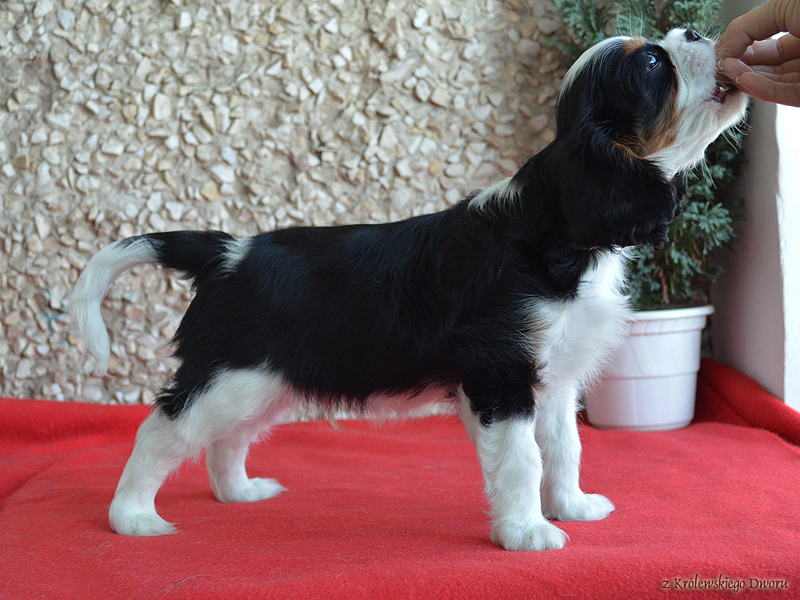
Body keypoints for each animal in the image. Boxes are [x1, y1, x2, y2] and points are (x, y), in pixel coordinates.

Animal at [71, 29, 747, 551]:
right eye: (652, 64)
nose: (694, 30)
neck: (562, 225)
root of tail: (229, 252)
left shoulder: (552, 381)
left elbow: (564, 448)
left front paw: (572, 507)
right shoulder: (500, 372)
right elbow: (523, 457)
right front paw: (528, 533)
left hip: (263, 382)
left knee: (226, 439)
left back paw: (239, 492)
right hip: (227, 376)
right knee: (162, 430)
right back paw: (133, 517)